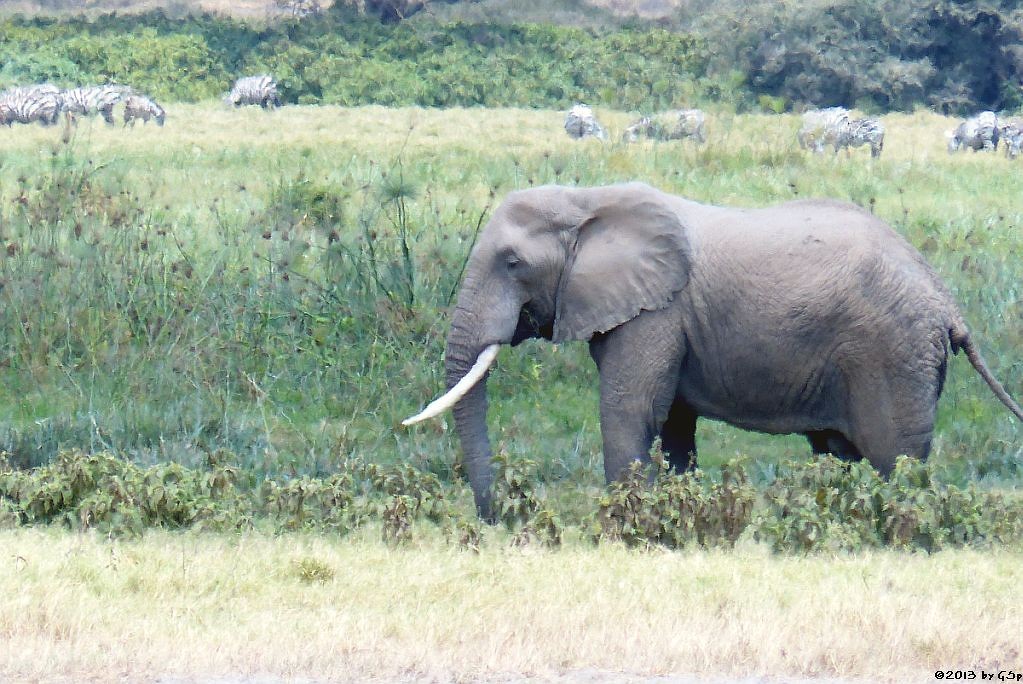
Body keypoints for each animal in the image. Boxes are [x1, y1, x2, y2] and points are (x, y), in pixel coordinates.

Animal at [405, 180, 1023, 517]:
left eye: (512, 263)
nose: (495, 521)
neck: (588, 198)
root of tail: (949, 304)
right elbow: (675, 424)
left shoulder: (657, 311)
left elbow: (631, 411)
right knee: (841, 454)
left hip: (894, 354)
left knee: (896, 460)